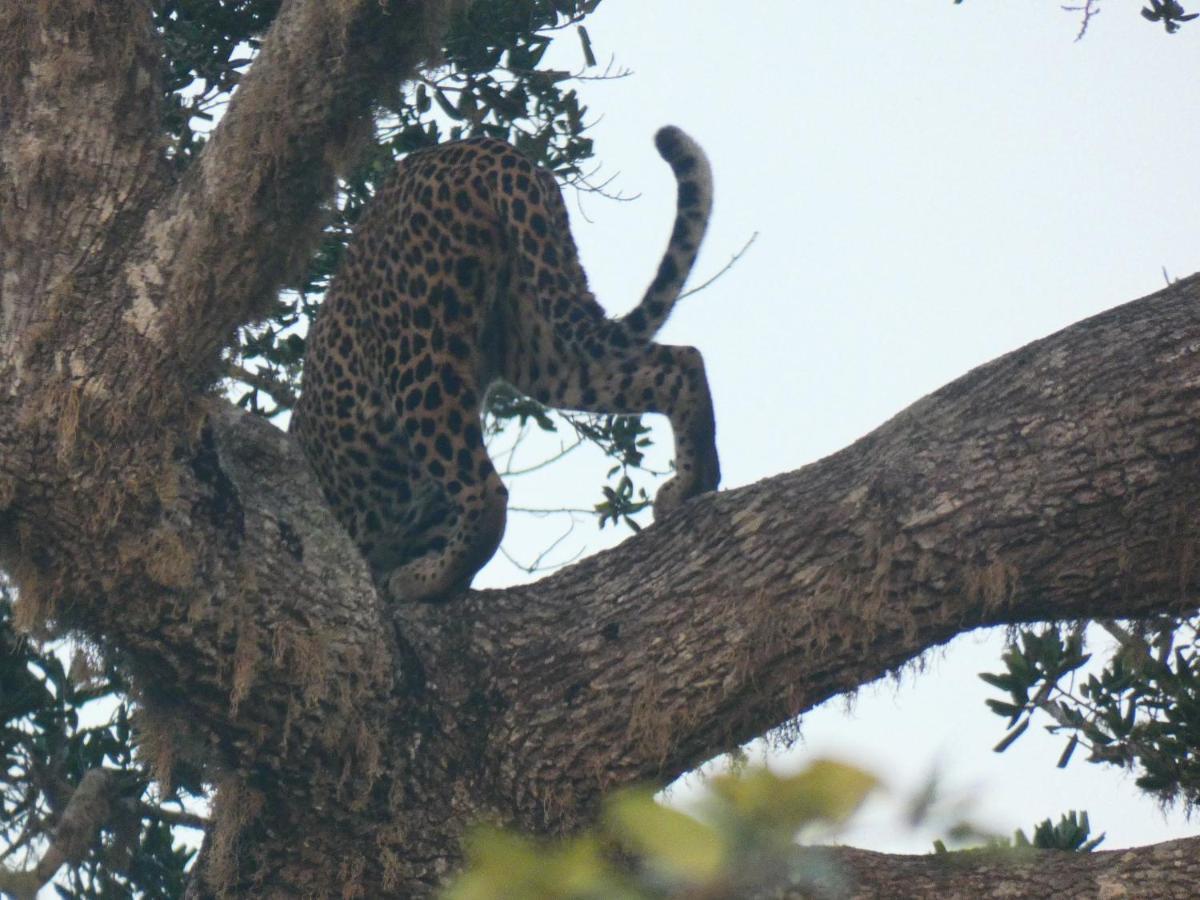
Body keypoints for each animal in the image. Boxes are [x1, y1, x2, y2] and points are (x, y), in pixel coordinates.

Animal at [291, 127, 715, 602]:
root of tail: (488, 150)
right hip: (541, 331)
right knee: (680, 362)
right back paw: (690, 486)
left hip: (417, 352)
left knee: (486, 494)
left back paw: (421, 580)